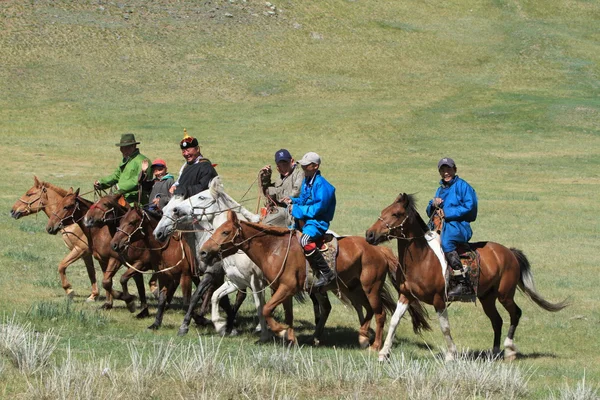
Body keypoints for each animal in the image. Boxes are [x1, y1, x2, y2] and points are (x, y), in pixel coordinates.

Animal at [155, 177, 270, 340]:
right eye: (163, 210)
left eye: (173, 211)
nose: (158, 233)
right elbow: (218, 298)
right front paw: (225, 324)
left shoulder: (213, 273)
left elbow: (196, 296)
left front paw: (186, 325)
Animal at [202, 209, 432, 350]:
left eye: (225, 232)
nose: (204, 252)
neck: (274, 249)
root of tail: (379, 249)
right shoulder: (283, 291)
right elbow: (288, 316)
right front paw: (290, 338)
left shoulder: (285, 288)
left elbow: (266, 309)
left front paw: (280, 331)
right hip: (353, 289)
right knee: (366, 311)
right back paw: (362, 337)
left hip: (370, 288)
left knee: (379, 313)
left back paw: (374, 344)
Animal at [366, 192, 568, 360]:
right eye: (383, 211)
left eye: (396, 214)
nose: (369, 235)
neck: (422, 258)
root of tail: (509, 253)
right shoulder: (406, 296)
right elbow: (394, 321)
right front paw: (383, 353)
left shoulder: (439, 300)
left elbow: (445, 327)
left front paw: (451, 355)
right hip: (487, 298)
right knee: (497, 320)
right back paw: (495, 352)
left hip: (505, 295)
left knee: (515, 314)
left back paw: (509, 350)